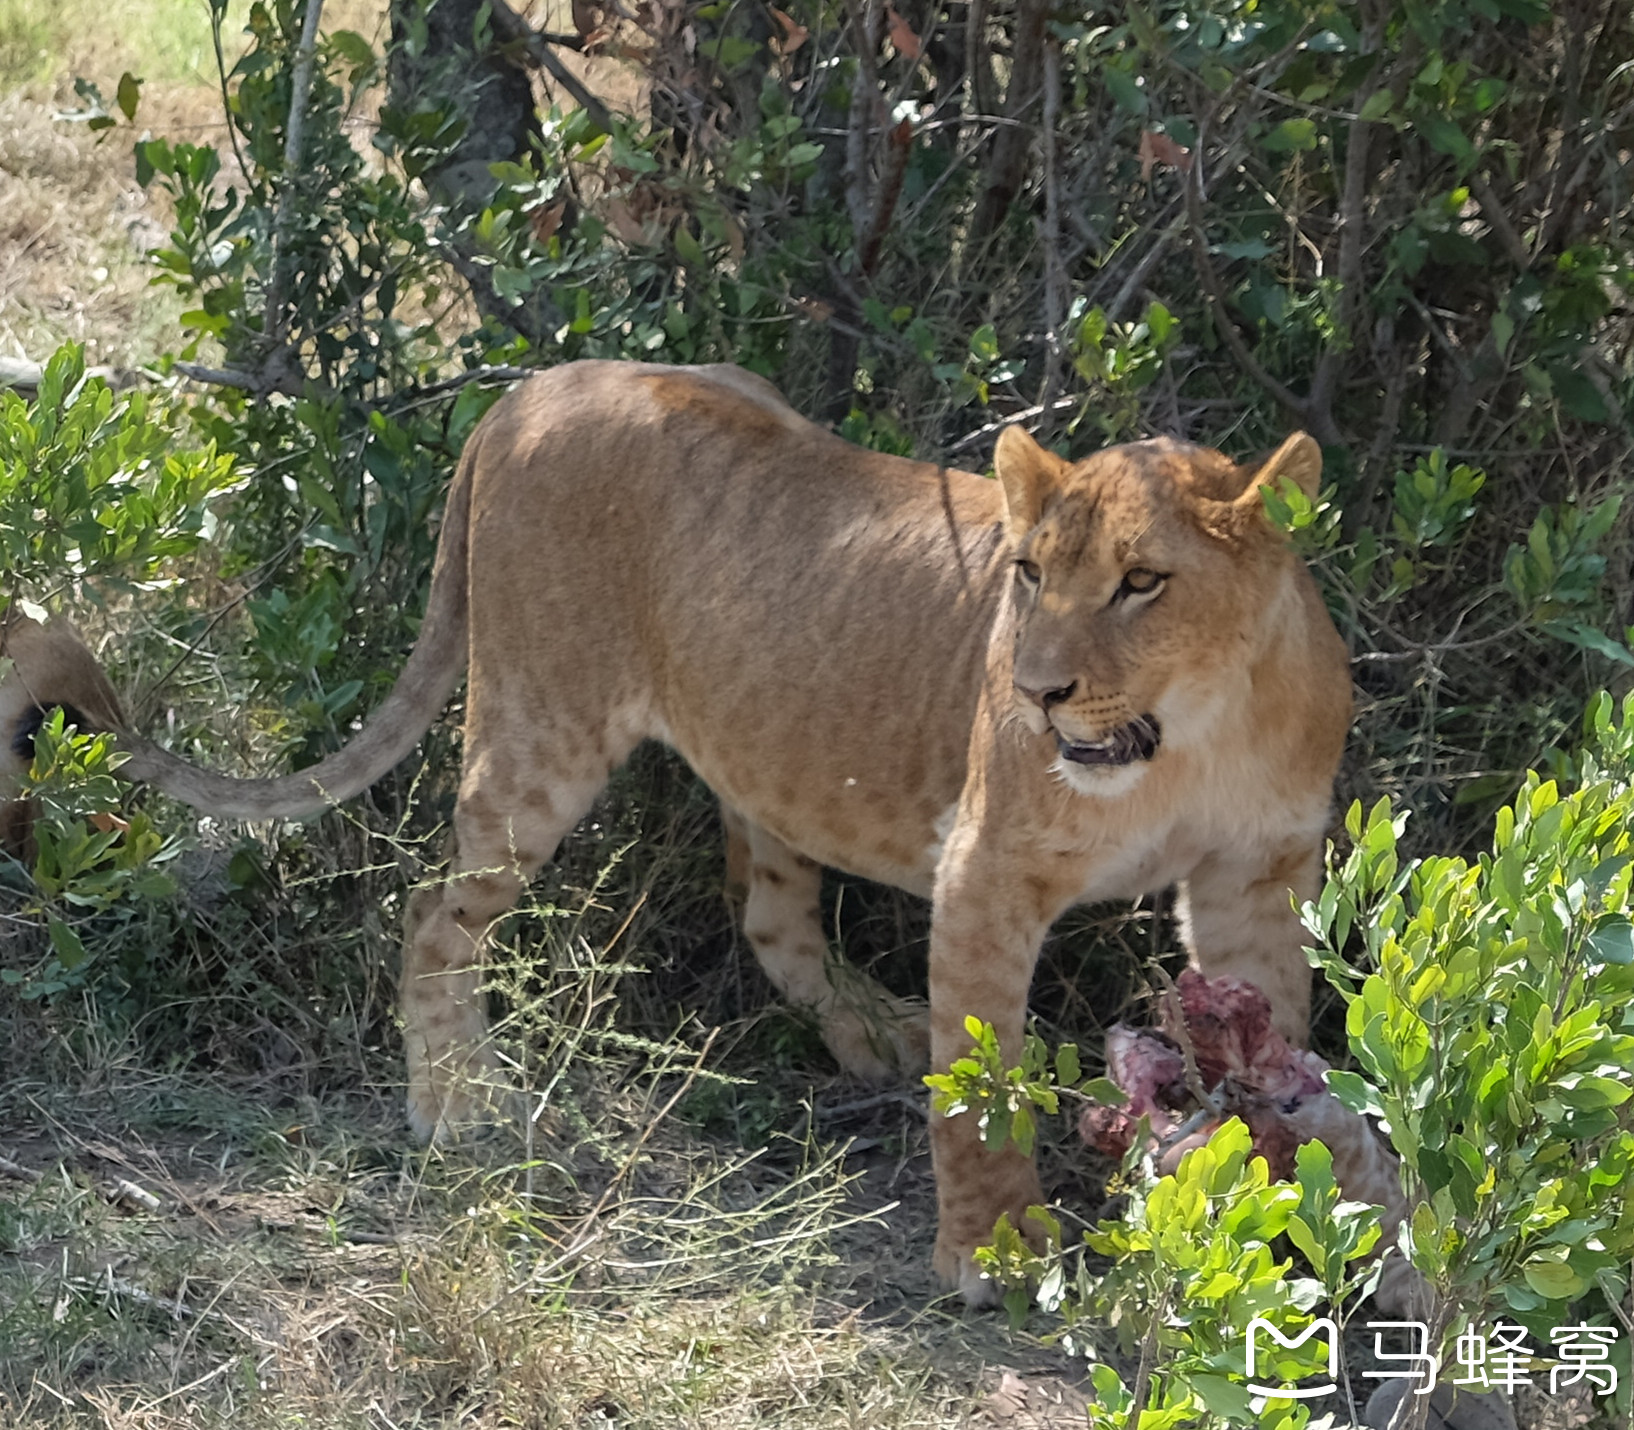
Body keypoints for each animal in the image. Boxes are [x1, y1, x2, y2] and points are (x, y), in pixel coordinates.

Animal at [0, 362, 1352, 1300]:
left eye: (1141, 581)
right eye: (1026, 572)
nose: (1034, 690)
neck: (1191, 729)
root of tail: (530, 386)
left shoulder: (1256, 876)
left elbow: (1280, 1044)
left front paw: (1293, 1209)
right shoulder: (989, 867)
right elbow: (977, 1087)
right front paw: (996, 1249)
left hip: (758, 742)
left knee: (767, 914)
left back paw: (869, 1032)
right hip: (536, 729)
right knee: (433, 908)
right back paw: (457, 1102)